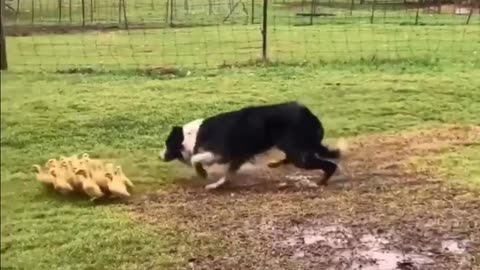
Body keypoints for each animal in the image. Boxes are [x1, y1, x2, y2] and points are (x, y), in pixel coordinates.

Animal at [159, 101, 346, 190]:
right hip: (292, 148)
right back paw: (274, 164)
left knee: (330, 165)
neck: (191, 136)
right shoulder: (237, 158)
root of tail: (308, 114)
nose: (159, 156)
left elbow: (196, 159)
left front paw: (203, 173)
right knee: (291, 158)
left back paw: (321, 182)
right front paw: (217, 185)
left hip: (297, 153)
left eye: (167, 144)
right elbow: (227, 174)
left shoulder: (219, 153)